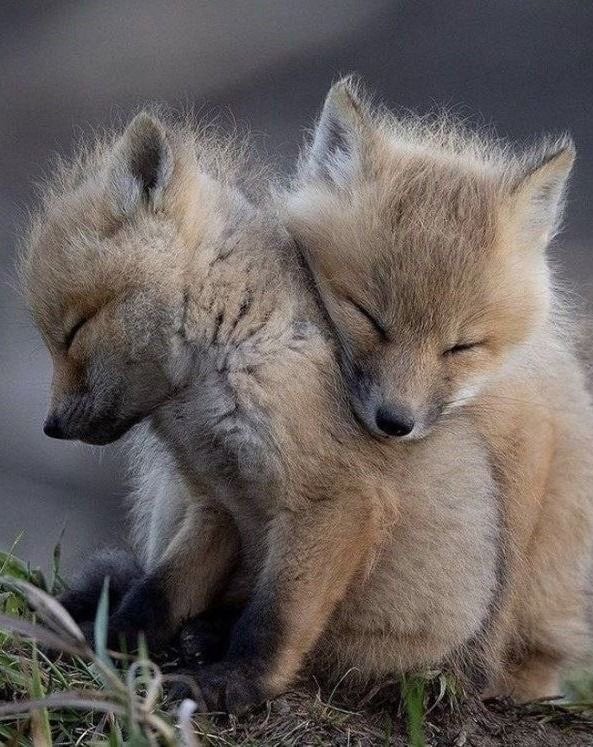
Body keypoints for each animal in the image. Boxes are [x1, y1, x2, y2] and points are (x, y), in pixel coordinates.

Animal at [280, 77, 593, 700]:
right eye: (369, 318)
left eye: (462, 347)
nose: (395, 422)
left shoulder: (529, 443)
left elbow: (501, 591)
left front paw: (474, 682)